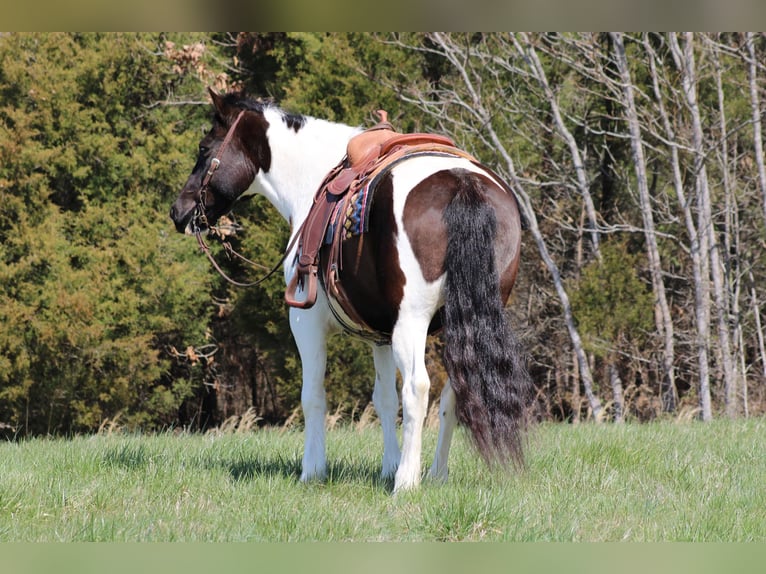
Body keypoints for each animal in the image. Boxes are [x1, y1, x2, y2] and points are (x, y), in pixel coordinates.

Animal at [171, 90, 536, 496]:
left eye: (204, 149)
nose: (178, 211)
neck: (312, 184)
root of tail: (461, 182)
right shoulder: (381, 335)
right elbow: (384, 399)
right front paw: (387, 465)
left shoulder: (306, 322)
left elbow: (314, 396)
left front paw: (313, 471)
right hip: (461, 322)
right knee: (453, 392)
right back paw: (435, 474)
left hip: (413, 321)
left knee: (418, 388)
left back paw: (407, 482)